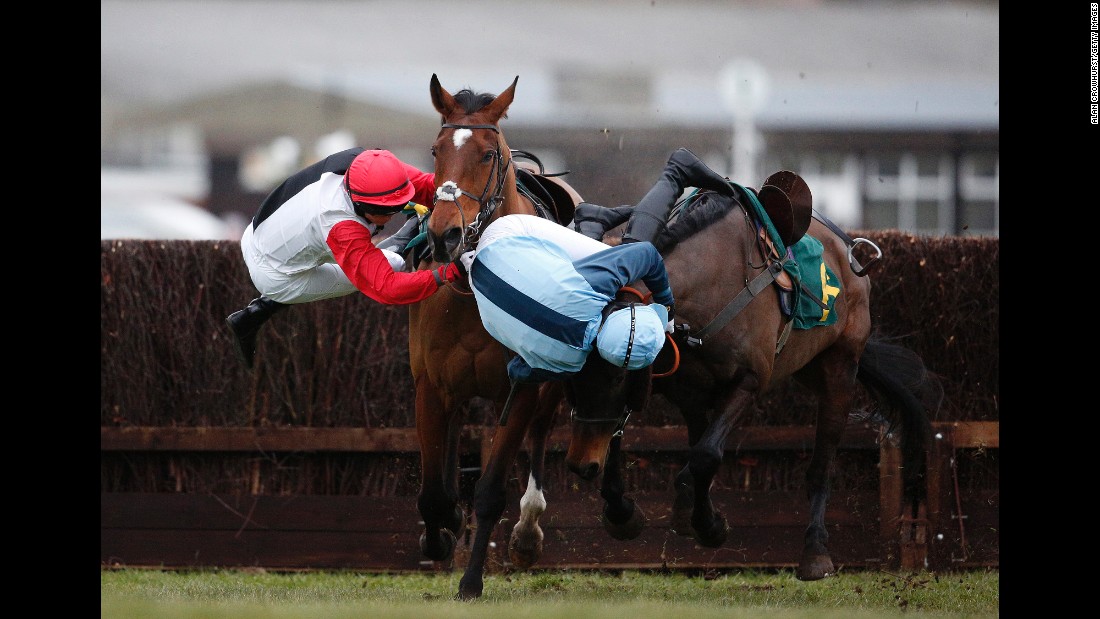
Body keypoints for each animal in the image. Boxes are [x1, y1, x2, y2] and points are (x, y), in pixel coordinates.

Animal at [406, 74, 581, 600]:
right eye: (436, 149)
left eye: (487, 154)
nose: (444, 235)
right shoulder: (431, 384)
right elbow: (432, 493)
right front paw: (441, 531)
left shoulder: (522, 387)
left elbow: (489, 491)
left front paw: (471, 580)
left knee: (541, 433)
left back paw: (527, 532)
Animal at [561, 181, 942, 580]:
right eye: (572, 376)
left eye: (618, 372)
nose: (580, 464)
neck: (710, 282)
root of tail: (852, 258)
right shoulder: (669, 377)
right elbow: (621, 439)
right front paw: (624, 512)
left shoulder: (750, 380)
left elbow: (706, 455)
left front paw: (709, 525)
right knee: (697, 435)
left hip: (840, 369)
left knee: (820, 466)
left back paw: (815, 550)